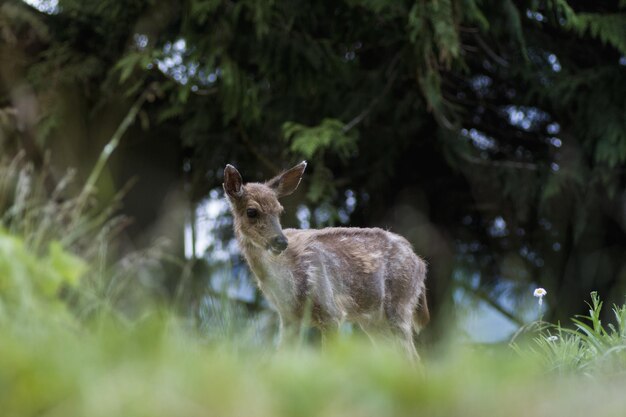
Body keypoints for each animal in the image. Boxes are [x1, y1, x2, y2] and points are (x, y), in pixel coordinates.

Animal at [222, 161, 426, 360]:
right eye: (251, 211)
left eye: (279, 210)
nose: (281, 241)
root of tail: (420, 263)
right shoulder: (288, 318)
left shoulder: (331, 310)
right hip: (373, 320)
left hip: (399, 305)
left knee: (413, 358)